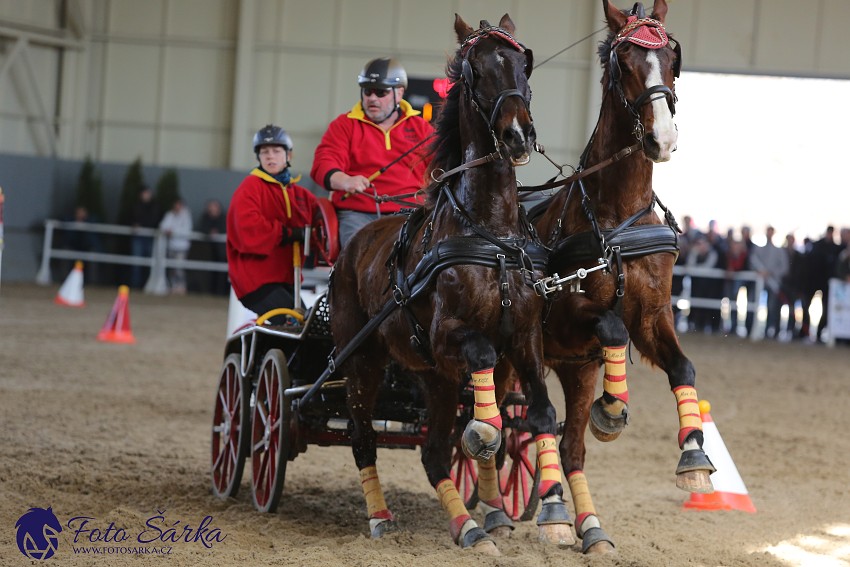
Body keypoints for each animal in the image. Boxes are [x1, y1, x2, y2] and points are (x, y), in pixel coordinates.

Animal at [328, 12, 572, 556]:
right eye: (474, 70)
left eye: (523, 63)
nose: (518, 135)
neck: (490, 234)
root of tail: (353, 247)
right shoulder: (447, 336)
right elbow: (480, 361)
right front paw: (483, 428)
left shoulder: (525, 341)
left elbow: (542, 413)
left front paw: (555, 512)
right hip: (361, 362)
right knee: (361, 437)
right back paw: (380, 517)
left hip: (432, 378)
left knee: (434, 451)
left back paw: (470, 528)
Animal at [528, 0, 708, 556]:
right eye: (623, 62)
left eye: (672, 58)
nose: (662, 139)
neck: (618, 218)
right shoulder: (568, 316)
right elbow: (610, 325)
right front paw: (612, 408)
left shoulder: (652, 316)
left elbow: (683, 365)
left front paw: (694, 458)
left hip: (574, 369)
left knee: (568, 444)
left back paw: (588, 527)